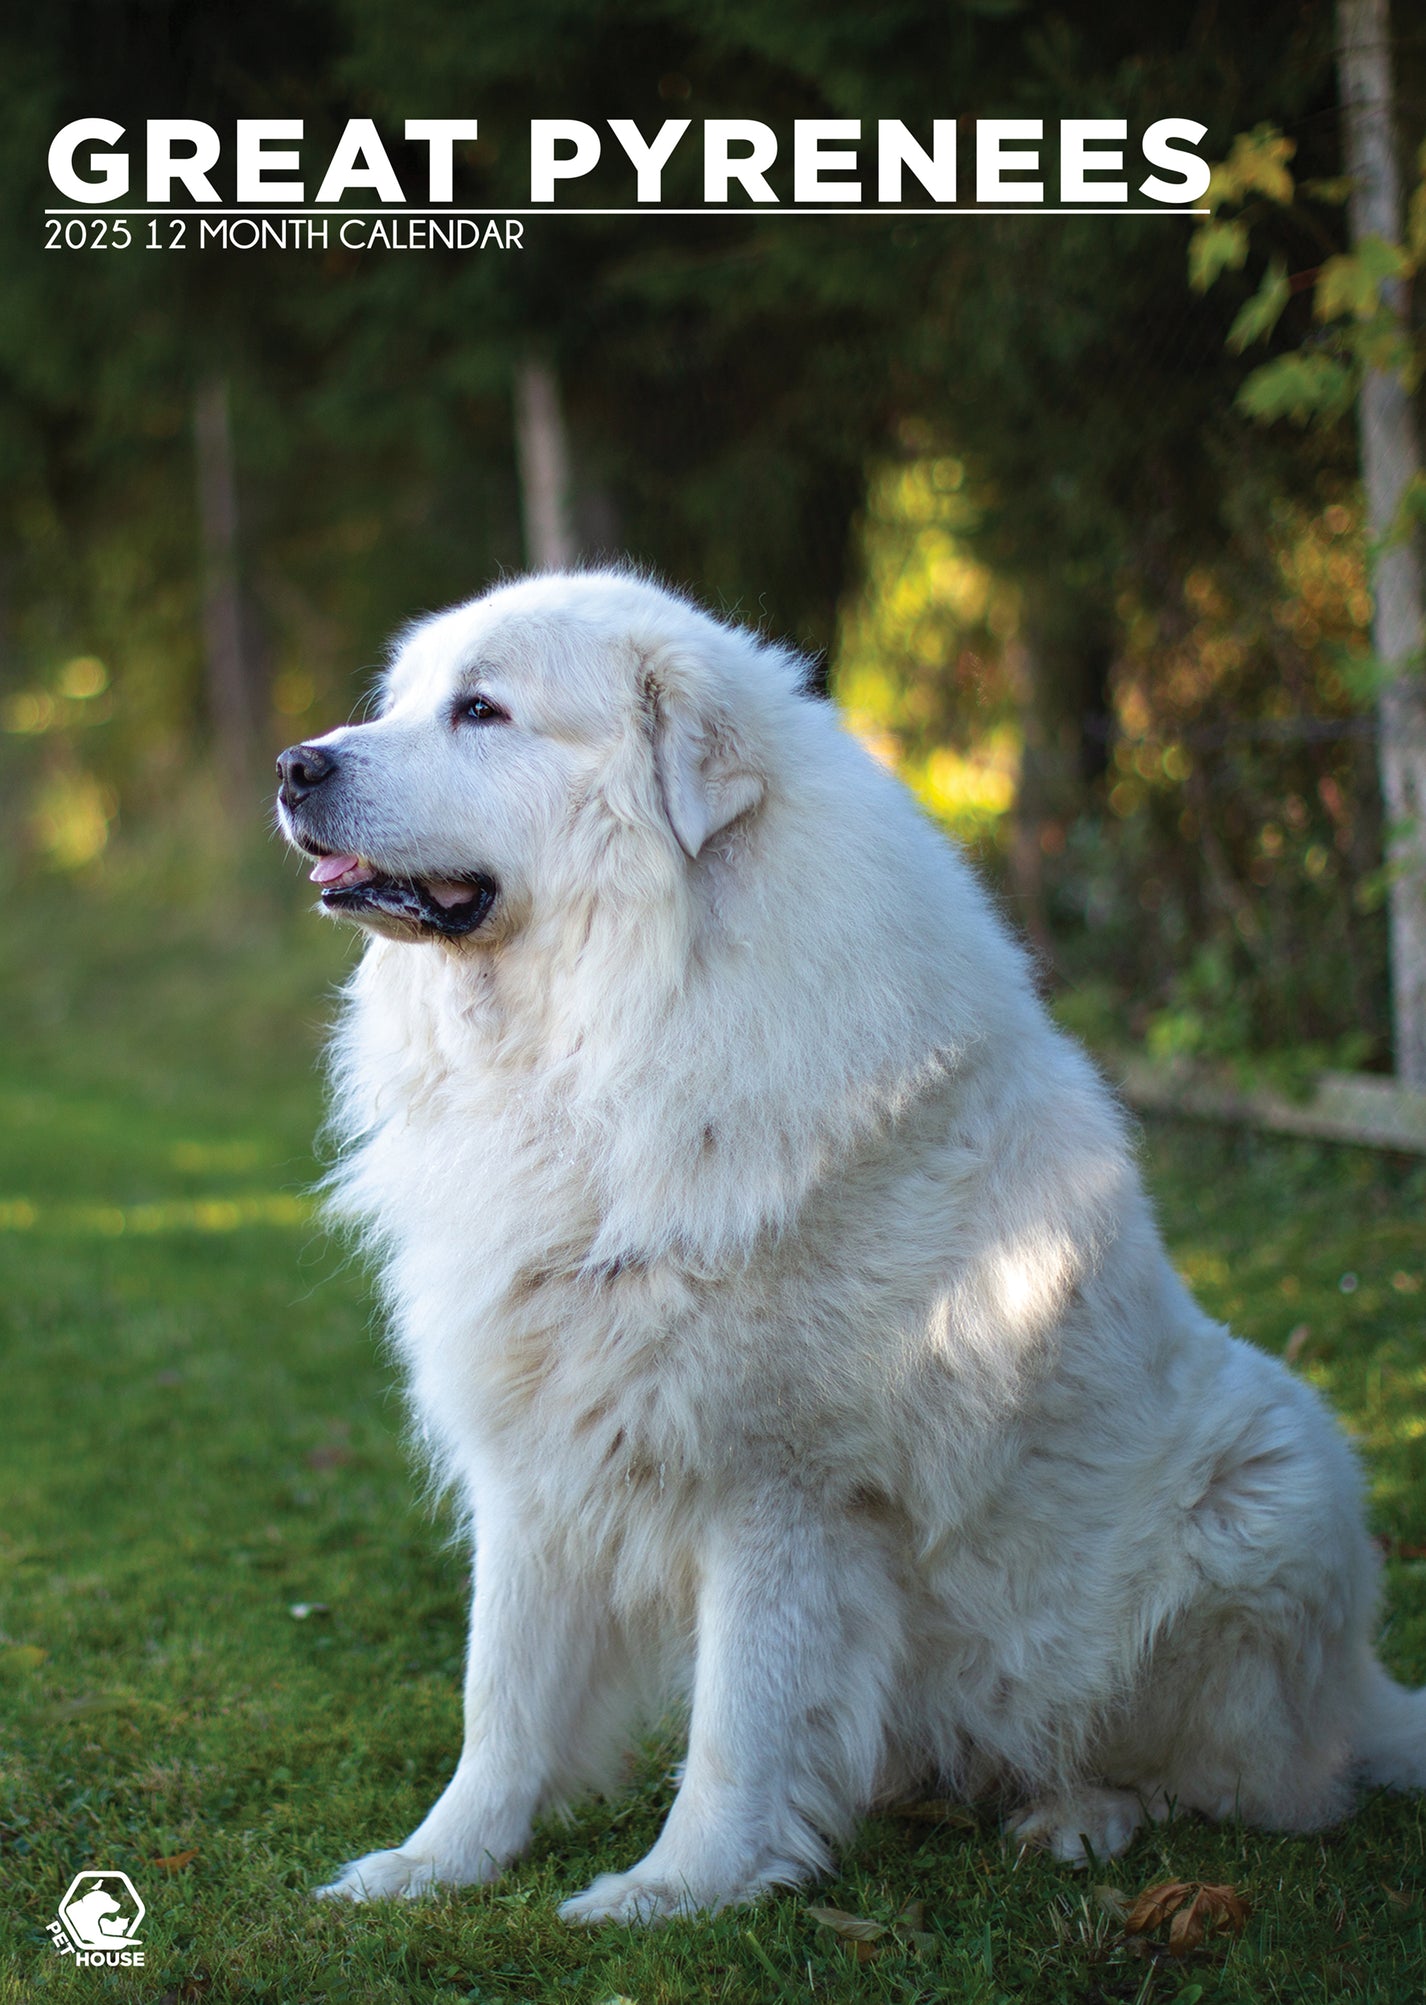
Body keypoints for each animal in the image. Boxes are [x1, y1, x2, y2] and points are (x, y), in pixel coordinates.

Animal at [272, 573, 1419, 1916]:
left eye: (482, 711)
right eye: (396, 702)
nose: (295, 764)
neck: (616, 1034)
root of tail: (1365, 1697)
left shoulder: (783, 1492)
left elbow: (742, 1720)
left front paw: (677, 1891)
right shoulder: (536, 1459)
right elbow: (500, 1698)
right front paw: (435, 1863)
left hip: (1272, 1479)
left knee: (1231, 1787)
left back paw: (1078, 1819)